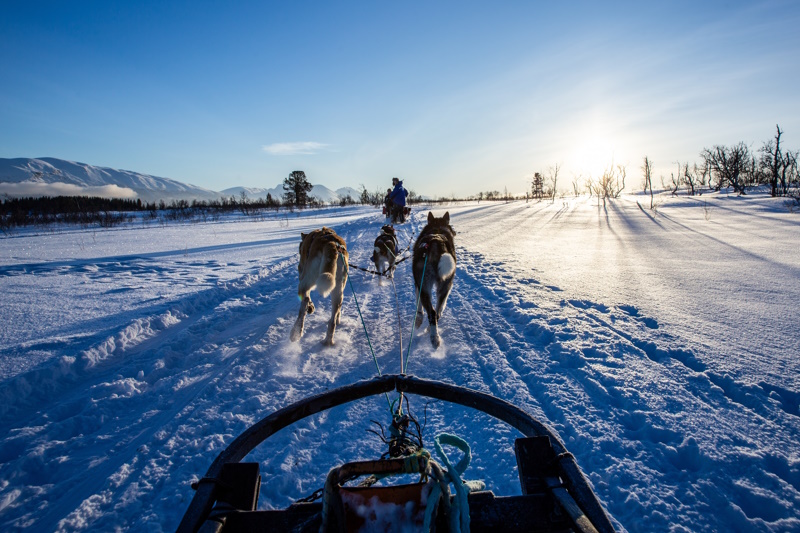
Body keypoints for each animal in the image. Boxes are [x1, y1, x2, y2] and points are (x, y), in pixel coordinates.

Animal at [412, 212, 456, 350]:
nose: (455, 232)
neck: (437, 228)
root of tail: (437, 243)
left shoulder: (418, 284)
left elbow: (419, 306)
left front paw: (418, 319)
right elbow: (440, 308)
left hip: (424, 285)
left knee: (432, 313)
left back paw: (433, 338)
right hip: (444, 285)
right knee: (437, 313)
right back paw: (433, 334)